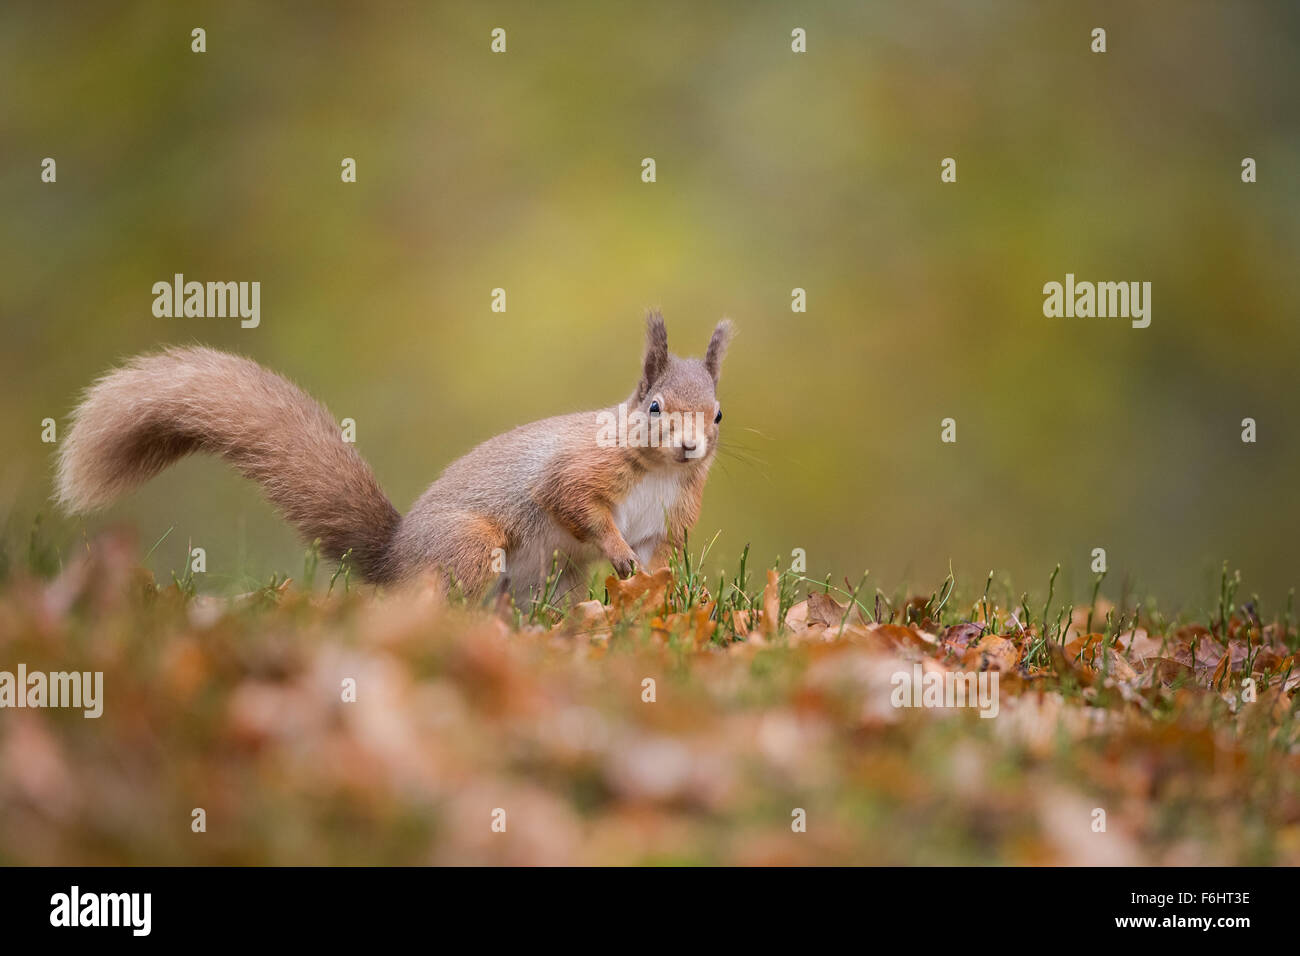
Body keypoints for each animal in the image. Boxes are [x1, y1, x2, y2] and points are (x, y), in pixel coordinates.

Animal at [53, 312, 733, 598]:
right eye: (654, 408)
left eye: (719, 414)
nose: (691, 446)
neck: (657, 473)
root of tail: (393, 559)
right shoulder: (575, 470)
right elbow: (575, 504)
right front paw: (617, 553)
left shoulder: (670, 519)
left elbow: (660, 555)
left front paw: (654, 589)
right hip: (467, 545)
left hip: (555, 577)